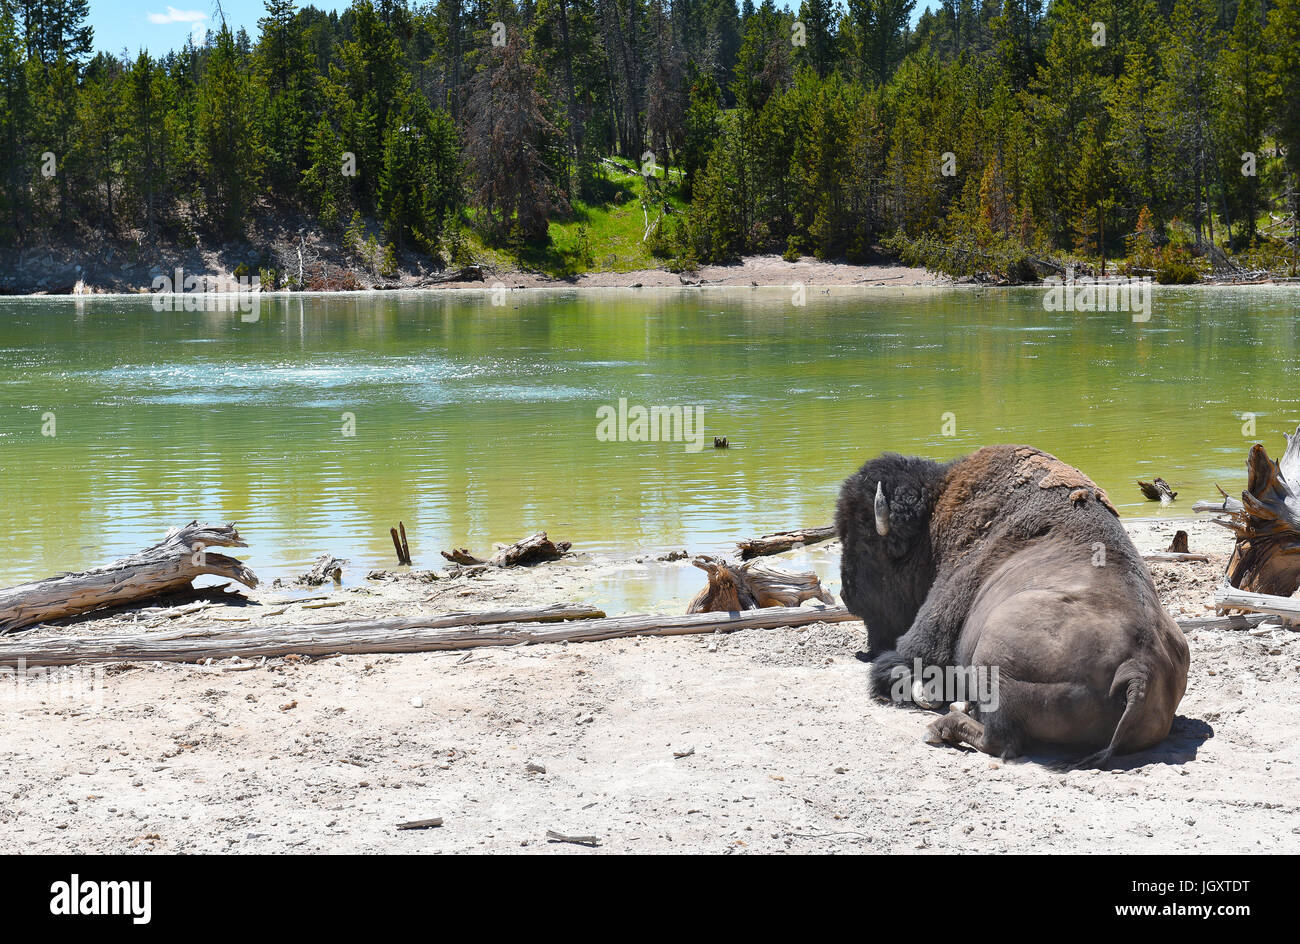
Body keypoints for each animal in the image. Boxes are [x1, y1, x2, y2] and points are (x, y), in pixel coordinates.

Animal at [837, 444, 1190, 769]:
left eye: (864, 542)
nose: (845, 592)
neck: (933, 520)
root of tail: (1138, 669)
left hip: (993, 656)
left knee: (999, 739)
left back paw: (940, 727)